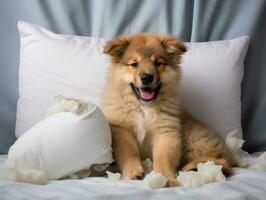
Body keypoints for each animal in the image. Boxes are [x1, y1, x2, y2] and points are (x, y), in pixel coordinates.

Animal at [100, 33, 235, 188]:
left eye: (158, 63)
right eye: (134, 64)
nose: (147, 77)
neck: (143, 108)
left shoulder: (166, 133)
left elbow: (163, 158)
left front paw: (164, 177)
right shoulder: (122, 131)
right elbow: (129, 152)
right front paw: (133, 171)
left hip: (195, 139)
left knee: (220, 162)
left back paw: (192, 167)